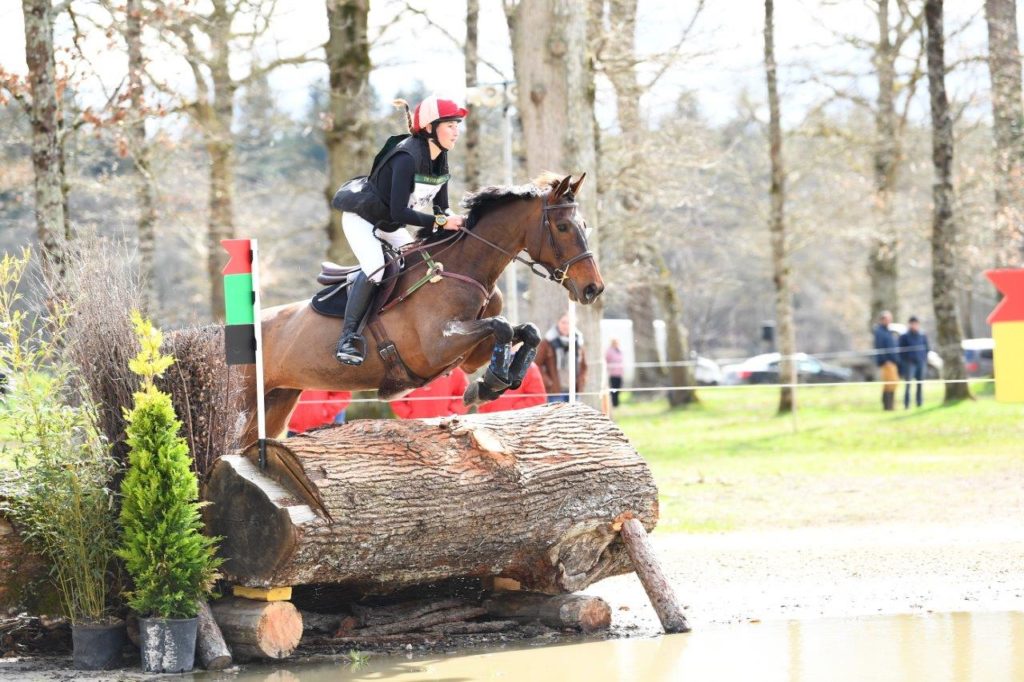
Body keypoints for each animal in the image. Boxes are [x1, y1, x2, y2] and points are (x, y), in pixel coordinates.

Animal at [235, 173, 602, 444]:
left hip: (279, 399)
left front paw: (492, 383)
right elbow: (501, 325)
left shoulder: (470, 356)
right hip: (244, 403)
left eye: (585, 225)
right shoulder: (436, 347)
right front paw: (491, 383)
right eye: (563, 227)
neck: (466, 268)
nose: (593, 288)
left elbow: (525, 330)